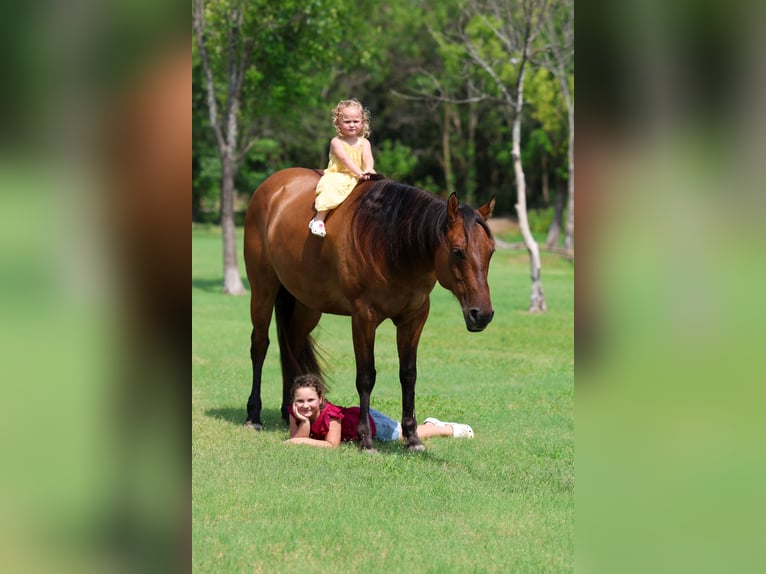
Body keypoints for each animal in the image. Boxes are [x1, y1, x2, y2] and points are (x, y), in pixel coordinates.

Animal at [243, 167, 495, 451]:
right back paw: (253, 415)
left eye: (491, 251)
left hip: (307, 304)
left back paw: (290, 411)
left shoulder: (414, 319)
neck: (390, 242)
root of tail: (273, 186)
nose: (482, 314)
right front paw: (366, 439)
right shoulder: (363, 317)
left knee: (292, 346)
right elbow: (366, 375)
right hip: (263, 288)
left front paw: (412, 437)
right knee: (259, 345)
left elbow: (408, 375)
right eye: (457, 251)